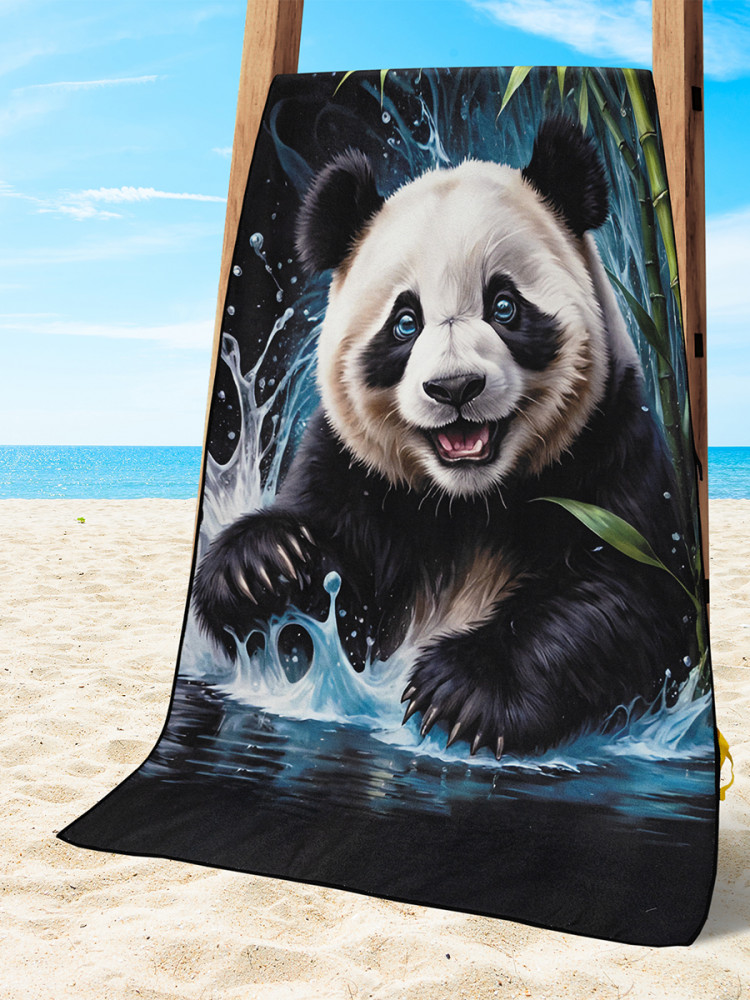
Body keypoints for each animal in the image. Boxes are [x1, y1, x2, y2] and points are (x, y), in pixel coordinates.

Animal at [194, 116, 693, 758]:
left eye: (504, 305)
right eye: (405, 322)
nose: (456, 387)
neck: (470, 501)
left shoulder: (612, 443)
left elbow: (630, 595)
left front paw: (461, 692)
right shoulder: (353, 468)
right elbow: (316, 618)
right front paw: (264, 567)